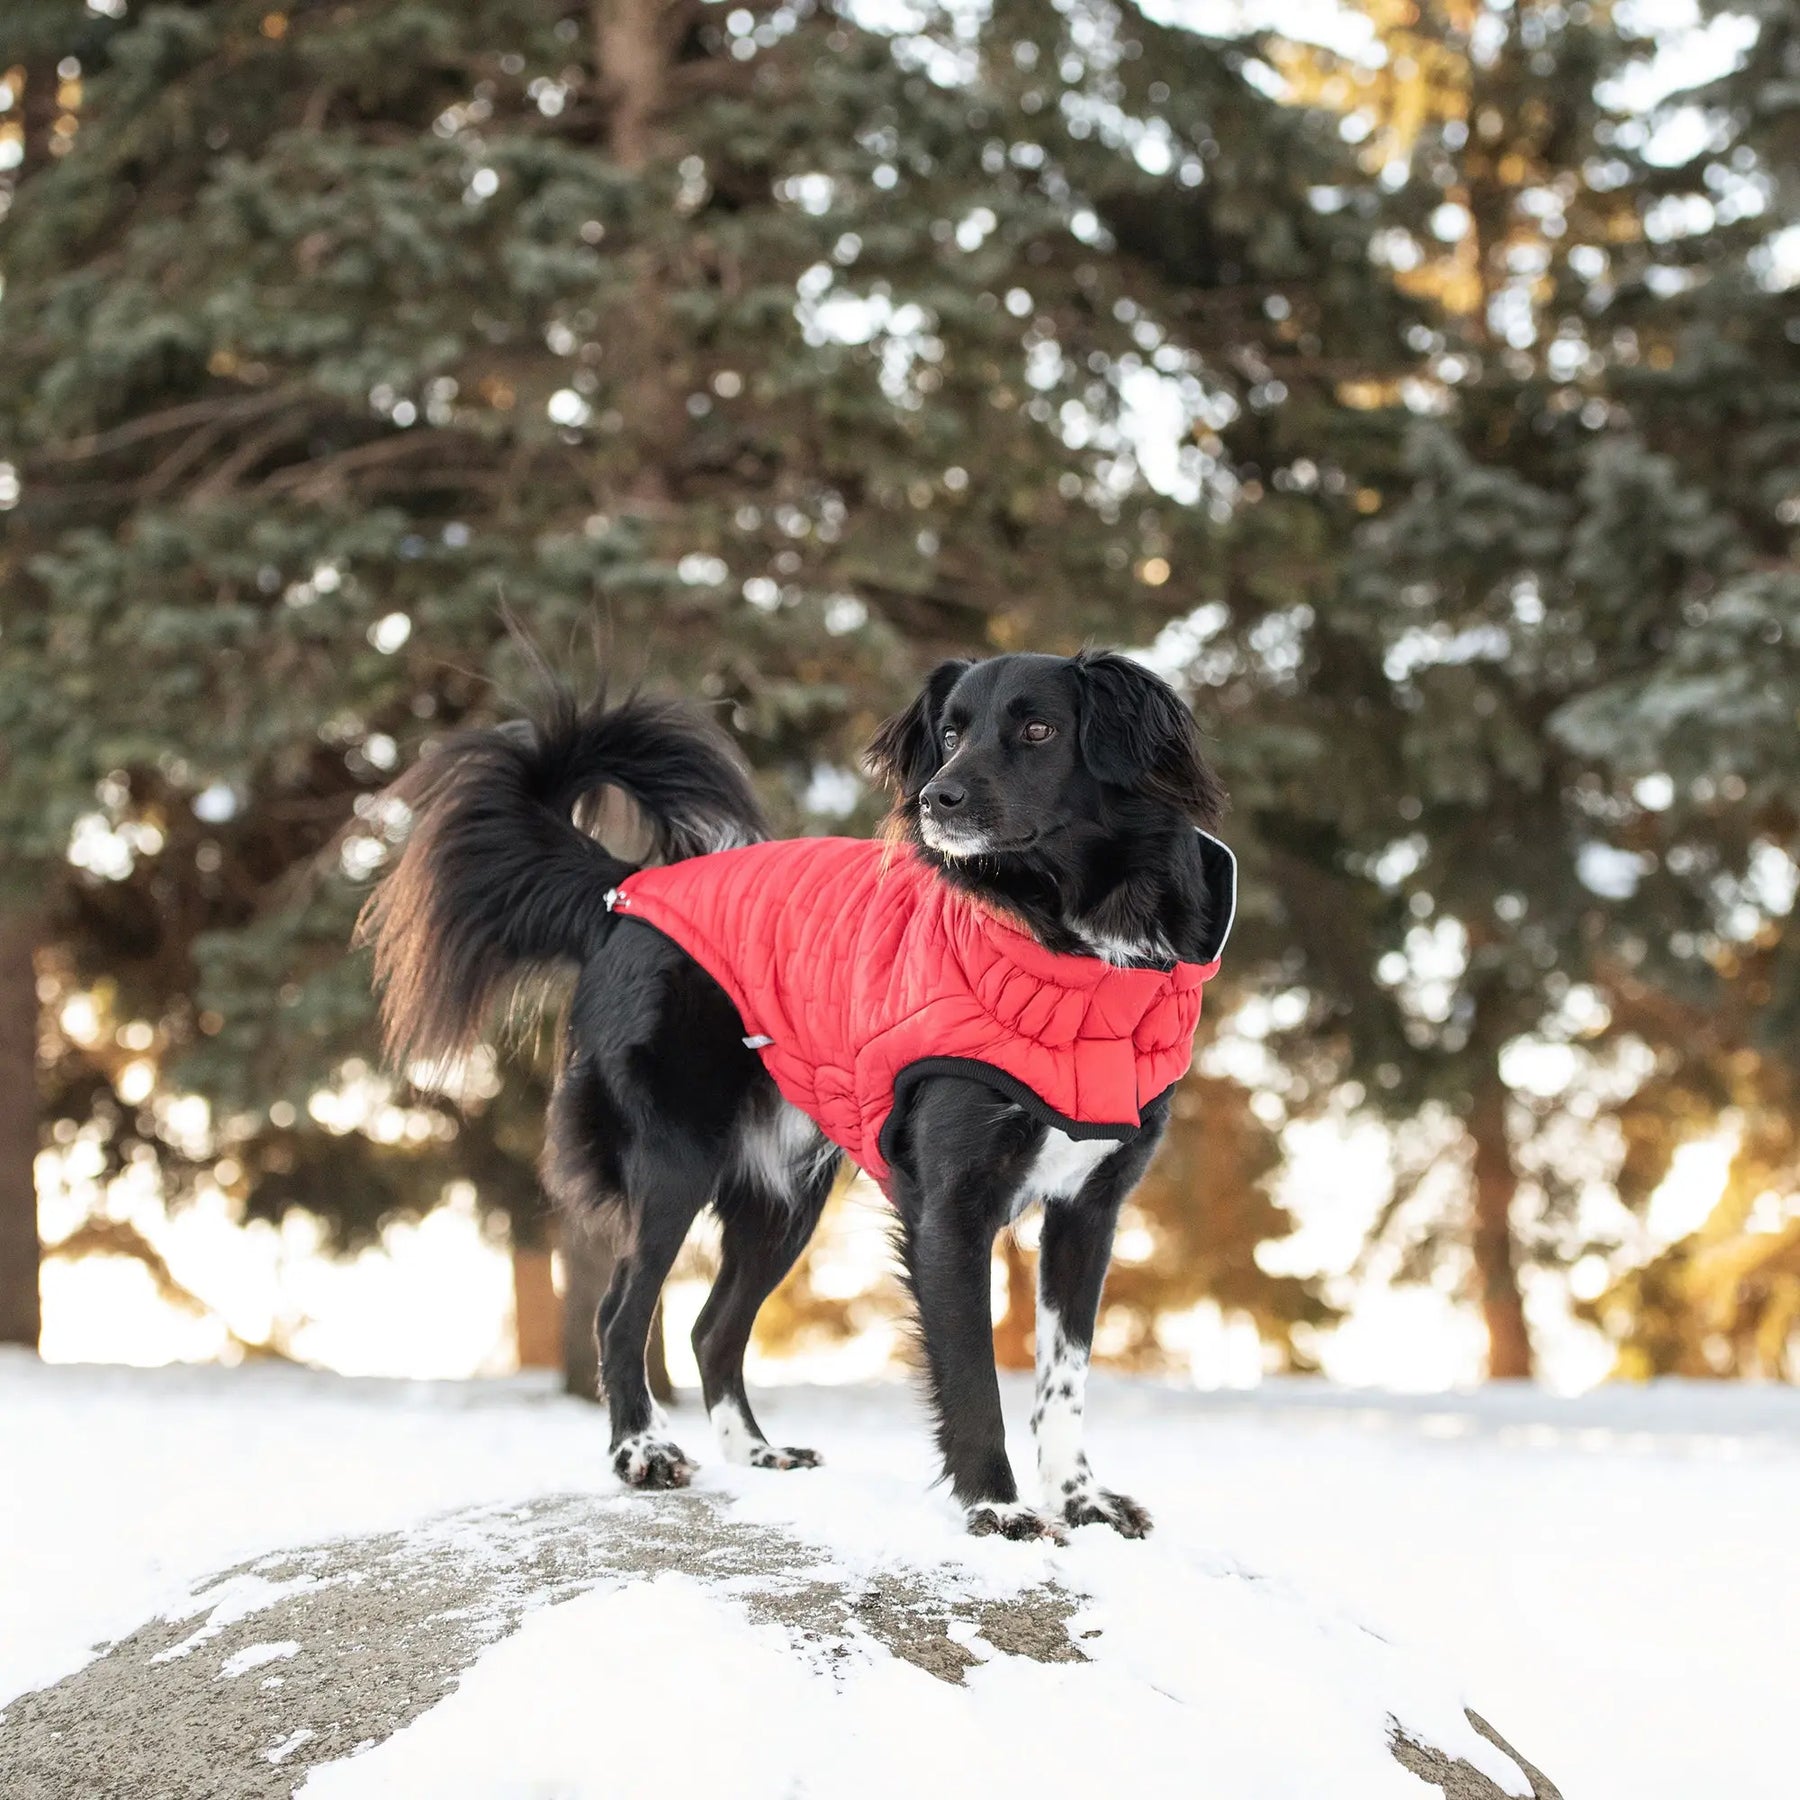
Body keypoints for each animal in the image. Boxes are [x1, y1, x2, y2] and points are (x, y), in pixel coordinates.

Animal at [369, 655, 1238, 1540]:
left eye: (1038, 730)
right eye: (950, 732)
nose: (937, 800)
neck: (1080, 949)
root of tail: (629, 889)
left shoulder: (1088, 1211)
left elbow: (1064, 1381)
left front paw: (1081, 1500)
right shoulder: (951, 1209)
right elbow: (972, 1379)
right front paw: (998, 1509)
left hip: (786, 1195)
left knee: (710, 1327)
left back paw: (755, 1453)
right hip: (674, 1159)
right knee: (619, 1312)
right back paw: (643, 1451)